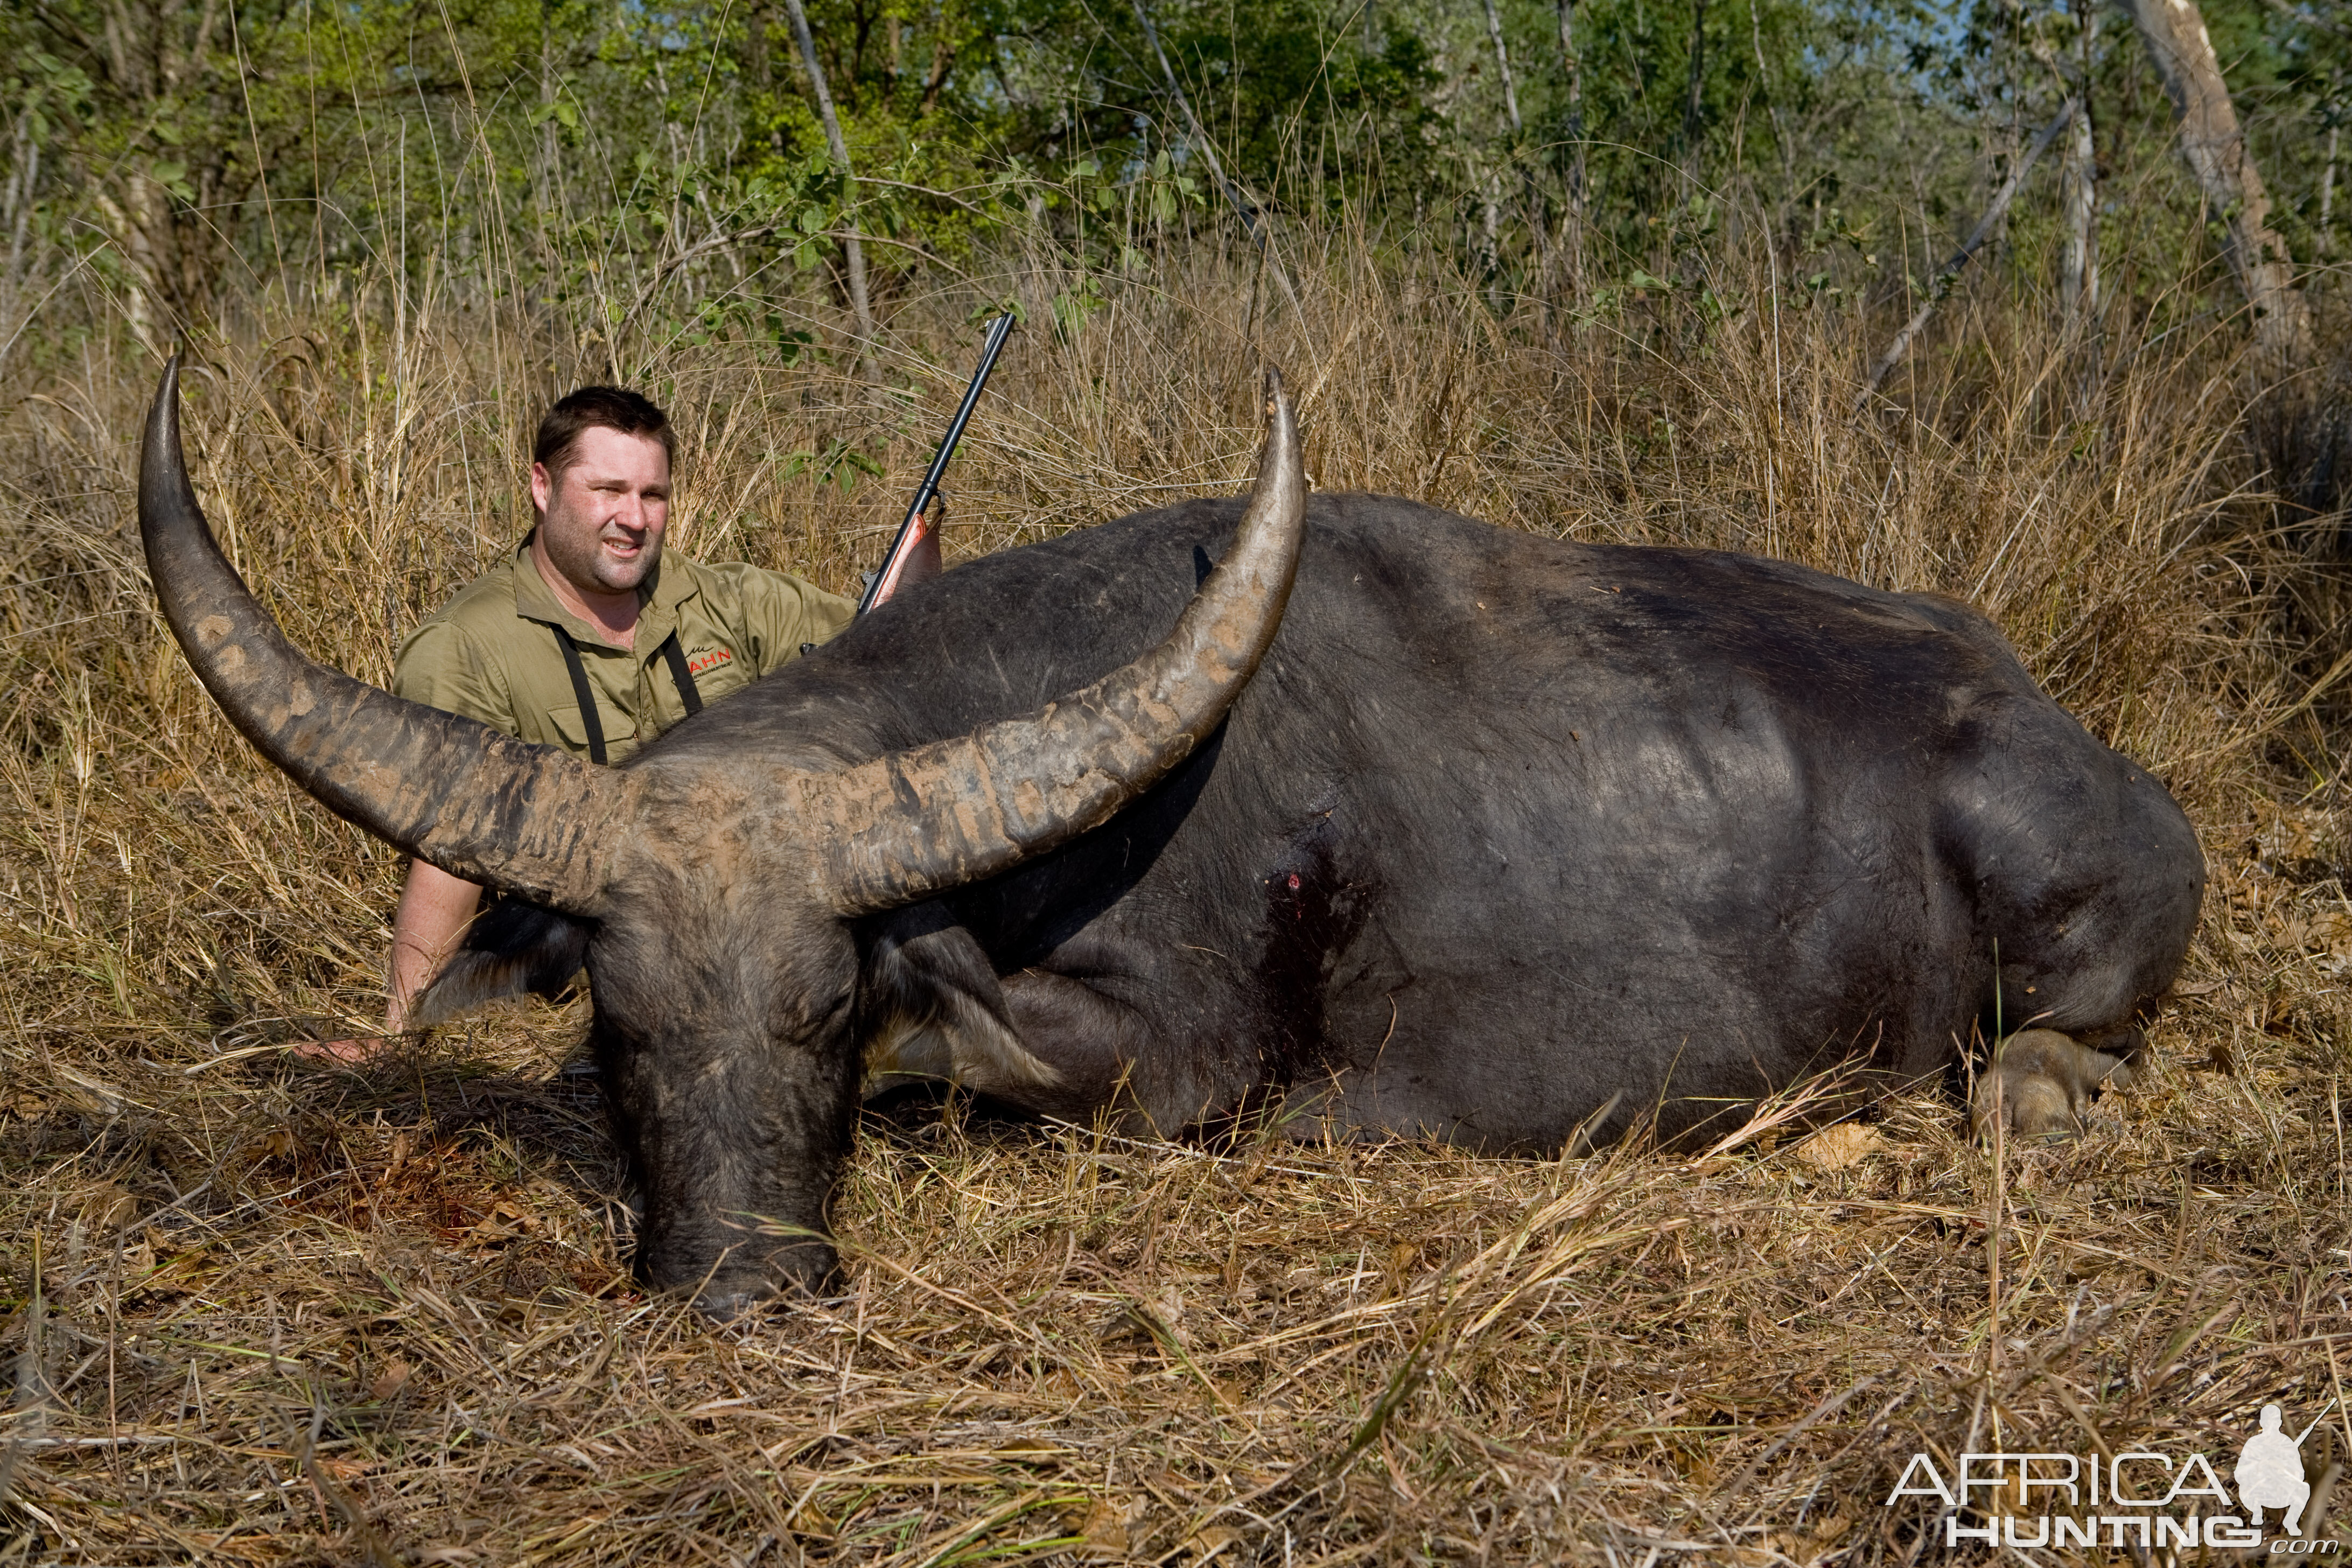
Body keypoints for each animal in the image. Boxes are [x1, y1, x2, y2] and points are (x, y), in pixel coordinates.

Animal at [142, 355, 2201, 1316]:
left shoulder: (1177, 1058)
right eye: (617, 1020)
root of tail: (2064, 735)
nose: (745, 1285)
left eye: (826, 1007)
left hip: (2067, 940)